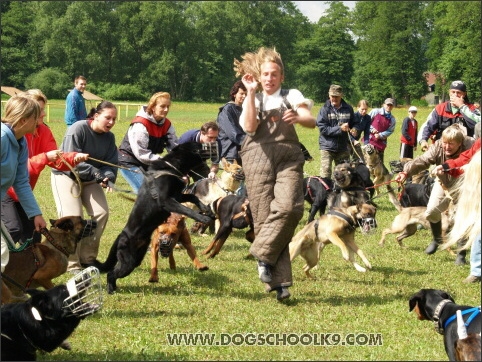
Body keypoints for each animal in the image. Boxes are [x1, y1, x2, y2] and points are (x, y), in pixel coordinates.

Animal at [94, 141, 215, 294]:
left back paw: (114, 287)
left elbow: (192, 197)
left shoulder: (177, 196)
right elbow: (186, 209)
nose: (214, 145)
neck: (171, 167)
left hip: (136, 258)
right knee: (111, 273)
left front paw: (205, 209)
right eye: (201, 145)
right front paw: (203, 218)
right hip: (128, 261)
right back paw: (111, 290)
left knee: (114, 272)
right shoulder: (166, 201)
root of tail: (121, 236)